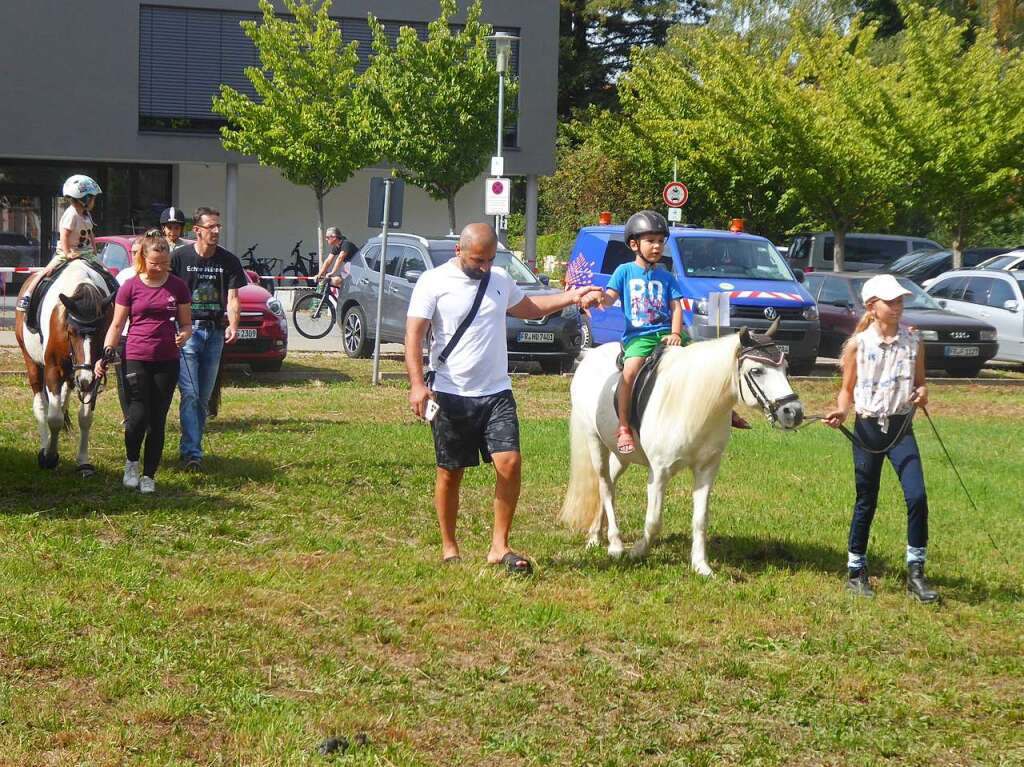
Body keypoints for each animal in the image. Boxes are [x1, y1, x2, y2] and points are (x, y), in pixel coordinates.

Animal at [557, 323, 802, 573]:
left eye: (786, 368)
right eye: (757, 370)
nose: (793, 412)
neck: (693, 403)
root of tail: (590, 356)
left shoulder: (707, 470)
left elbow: (701, 519)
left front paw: (701, 565)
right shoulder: (659, 472)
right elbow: (654, 520)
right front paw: (637, 551)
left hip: (621, 454)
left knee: (608, 483)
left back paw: (595, 536)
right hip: (595, 441)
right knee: (605, 485)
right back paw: (615, 544)